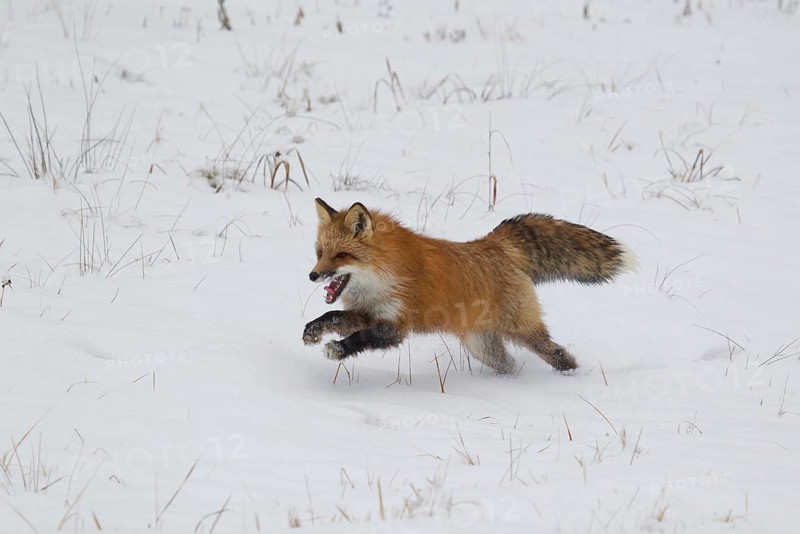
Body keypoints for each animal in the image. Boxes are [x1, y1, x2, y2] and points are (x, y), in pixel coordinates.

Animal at [302, 198, 637, 374]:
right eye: (320, 253)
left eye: (342, 255)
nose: (313, 276)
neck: (383, 275)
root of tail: (492, 244)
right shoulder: (367, 312)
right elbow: (333, 317)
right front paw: (314, 331)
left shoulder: (396, 325)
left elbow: (362, 338)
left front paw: (338, 348)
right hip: (485, 348)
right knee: (508, 365)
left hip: (524, 331)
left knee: (558, 354)